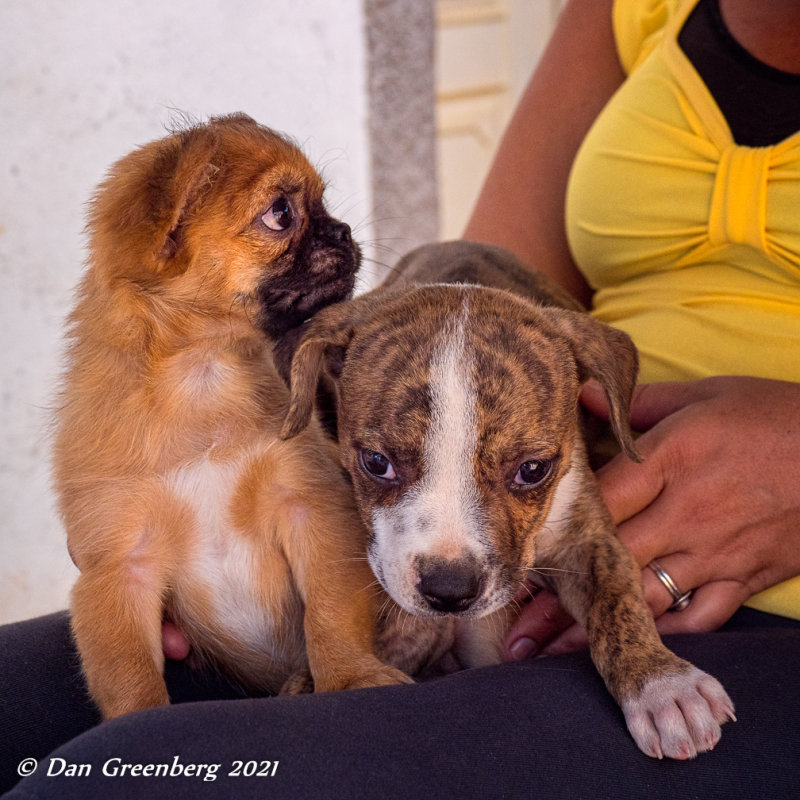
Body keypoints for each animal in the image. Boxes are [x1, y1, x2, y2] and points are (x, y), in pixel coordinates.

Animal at [54, 115, 406, 720]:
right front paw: (141, 720)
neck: (204, 380)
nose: (342, 231)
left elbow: (331, 617)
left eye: (323, 204)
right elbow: (129, 677)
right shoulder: (120, 571)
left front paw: (350, 676)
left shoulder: (312, 510)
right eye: (281, 213)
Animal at [282, 241, 736, 760]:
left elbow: (617, 598)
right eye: (376, 463)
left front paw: (663, 685)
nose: (449, 589)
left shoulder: (586, 536)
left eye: (532, 471)